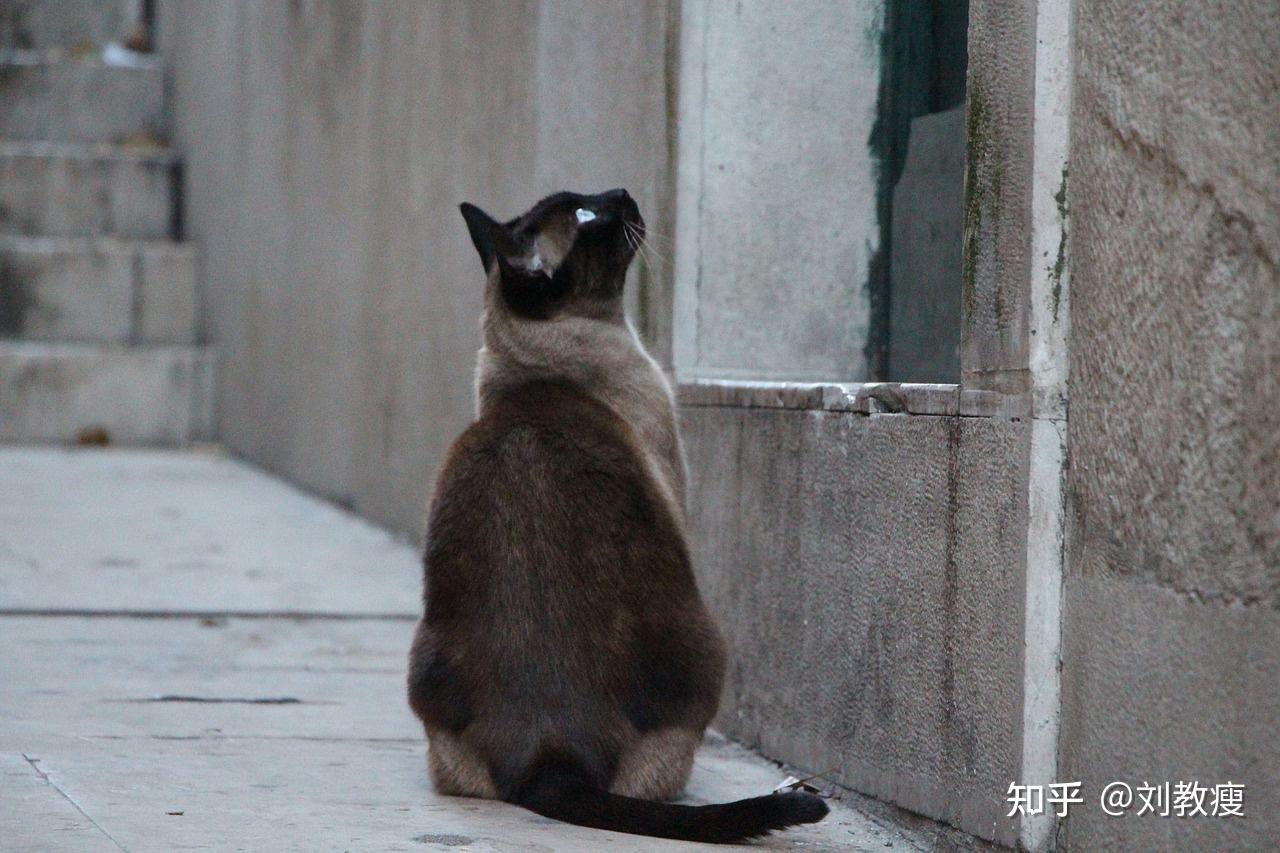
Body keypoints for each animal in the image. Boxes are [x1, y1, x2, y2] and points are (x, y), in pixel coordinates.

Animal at [407, 188, 829, 835]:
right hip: (707, 648)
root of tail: (549, 754)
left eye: (587, 200)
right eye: (585, 216)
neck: (538, 371)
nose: (623, 194)